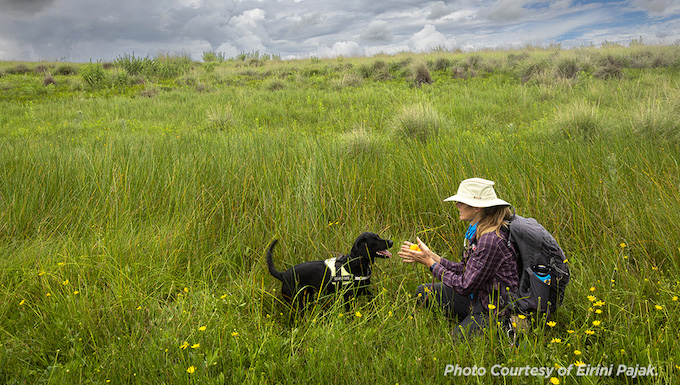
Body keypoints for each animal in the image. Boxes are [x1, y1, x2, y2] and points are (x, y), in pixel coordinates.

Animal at [266, 231, 394, 308]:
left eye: (378, 236)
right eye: (375, 239)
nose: (391, 241)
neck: (355, 263)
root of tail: (283, 275)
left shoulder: (363, 290)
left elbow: (373, 297)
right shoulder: (347, 297)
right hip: (297, 302)